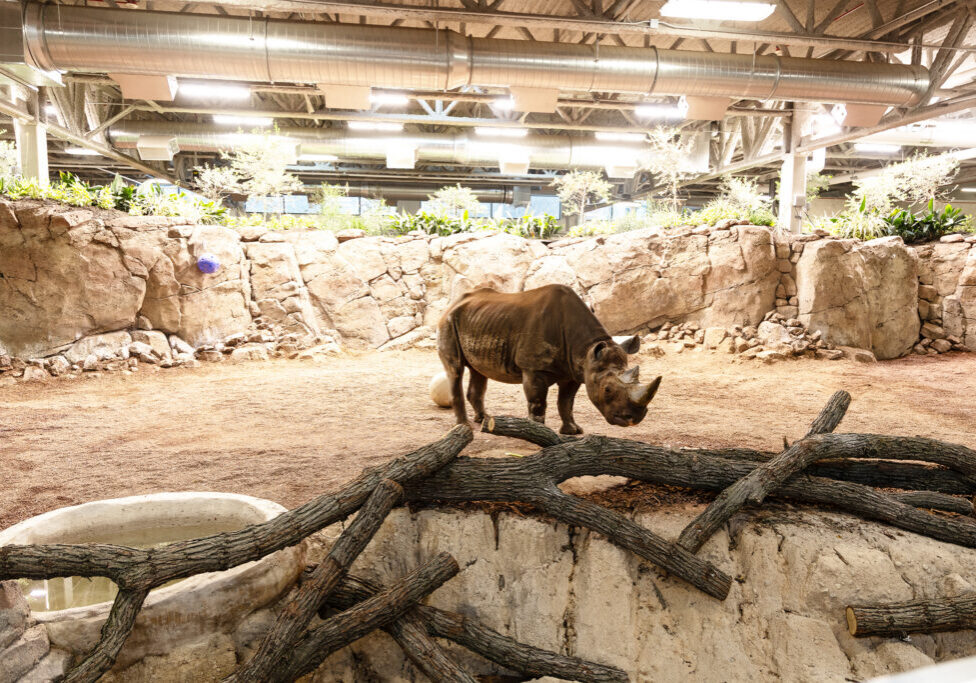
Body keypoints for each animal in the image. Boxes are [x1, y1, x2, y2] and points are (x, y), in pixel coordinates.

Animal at [437, 284, 661, 434]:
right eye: (607, 389)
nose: (634, 419)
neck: (586, 349)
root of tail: (454, 302)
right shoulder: (533, 368)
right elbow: (537, 402)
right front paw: (538, 434)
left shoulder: (575, 370)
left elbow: (566, 402)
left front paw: (573, 431)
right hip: (448, 322)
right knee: (455, 369)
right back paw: (463, 426)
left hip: (479, 319)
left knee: (478, 371)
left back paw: (484, 420)